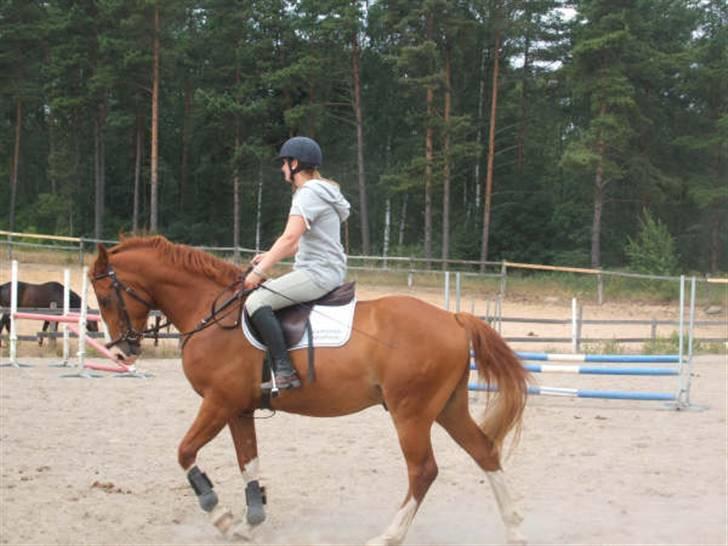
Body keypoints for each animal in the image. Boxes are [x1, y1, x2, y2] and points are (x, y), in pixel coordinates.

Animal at [89, 235, 528, 544]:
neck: (212, 312)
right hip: (448, 408)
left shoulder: (218, 402)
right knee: (484, 452)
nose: (124, 349)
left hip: (411, 413)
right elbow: (249, 463)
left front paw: (220, 515)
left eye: (106, 297)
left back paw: (388, 536)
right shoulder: (239, 409)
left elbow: (185, 452)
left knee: (424, 470)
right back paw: (515, 530)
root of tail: (454, 318)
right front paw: (250, 523)